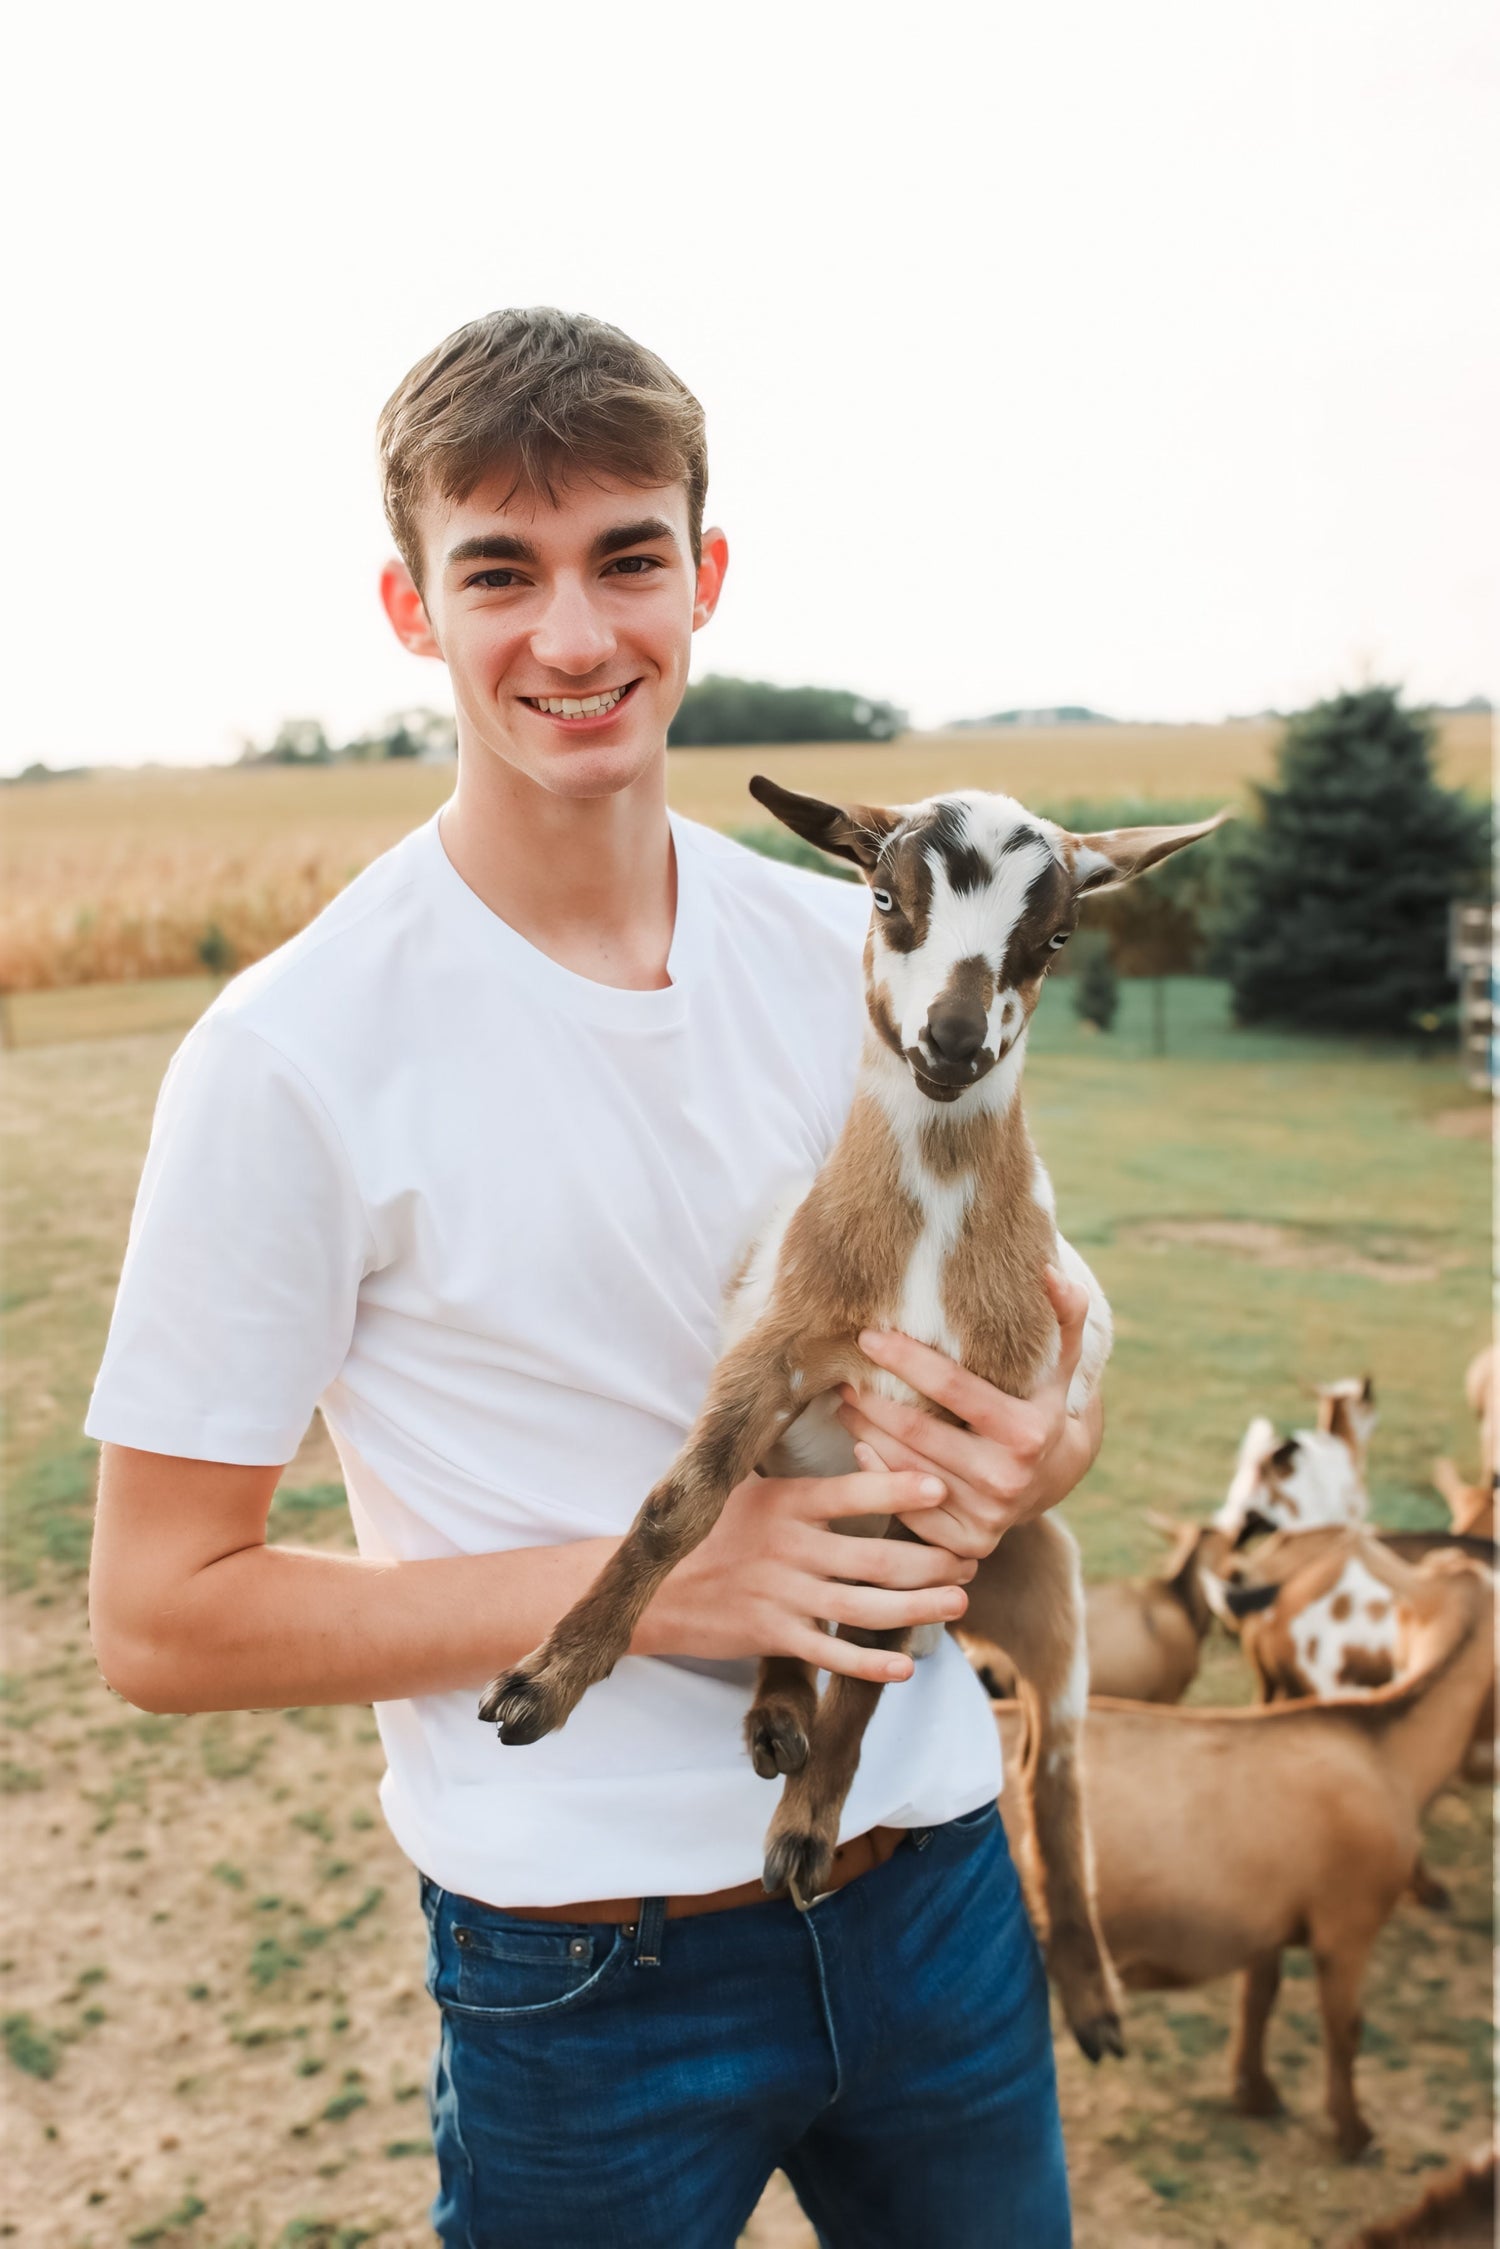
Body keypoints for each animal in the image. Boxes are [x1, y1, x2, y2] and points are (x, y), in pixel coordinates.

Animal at [479, 778, 1223, 2056]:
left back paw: (1089, 1996)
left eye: (1057, 933)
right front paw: (543, 1682)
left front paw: (804, 1834)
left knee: (1052, 1766)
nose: (955, 1042)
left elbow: (876, 1650)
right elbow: (676, 1508)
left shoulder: (966, 1448)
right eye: (882, 893)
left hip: (1046, 1582)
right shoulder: (778, 1350)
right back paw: (776, 1716)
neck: (923, 1233)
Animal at [995, 1554, 1494, 2158]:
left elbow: (1258, 1999)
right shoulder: (1346, 1928)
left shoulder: (1266, 1921)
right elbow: (1345, 2029)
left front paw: (1254, 2092)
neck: (1383, 1747)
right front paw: (1354, 2132)